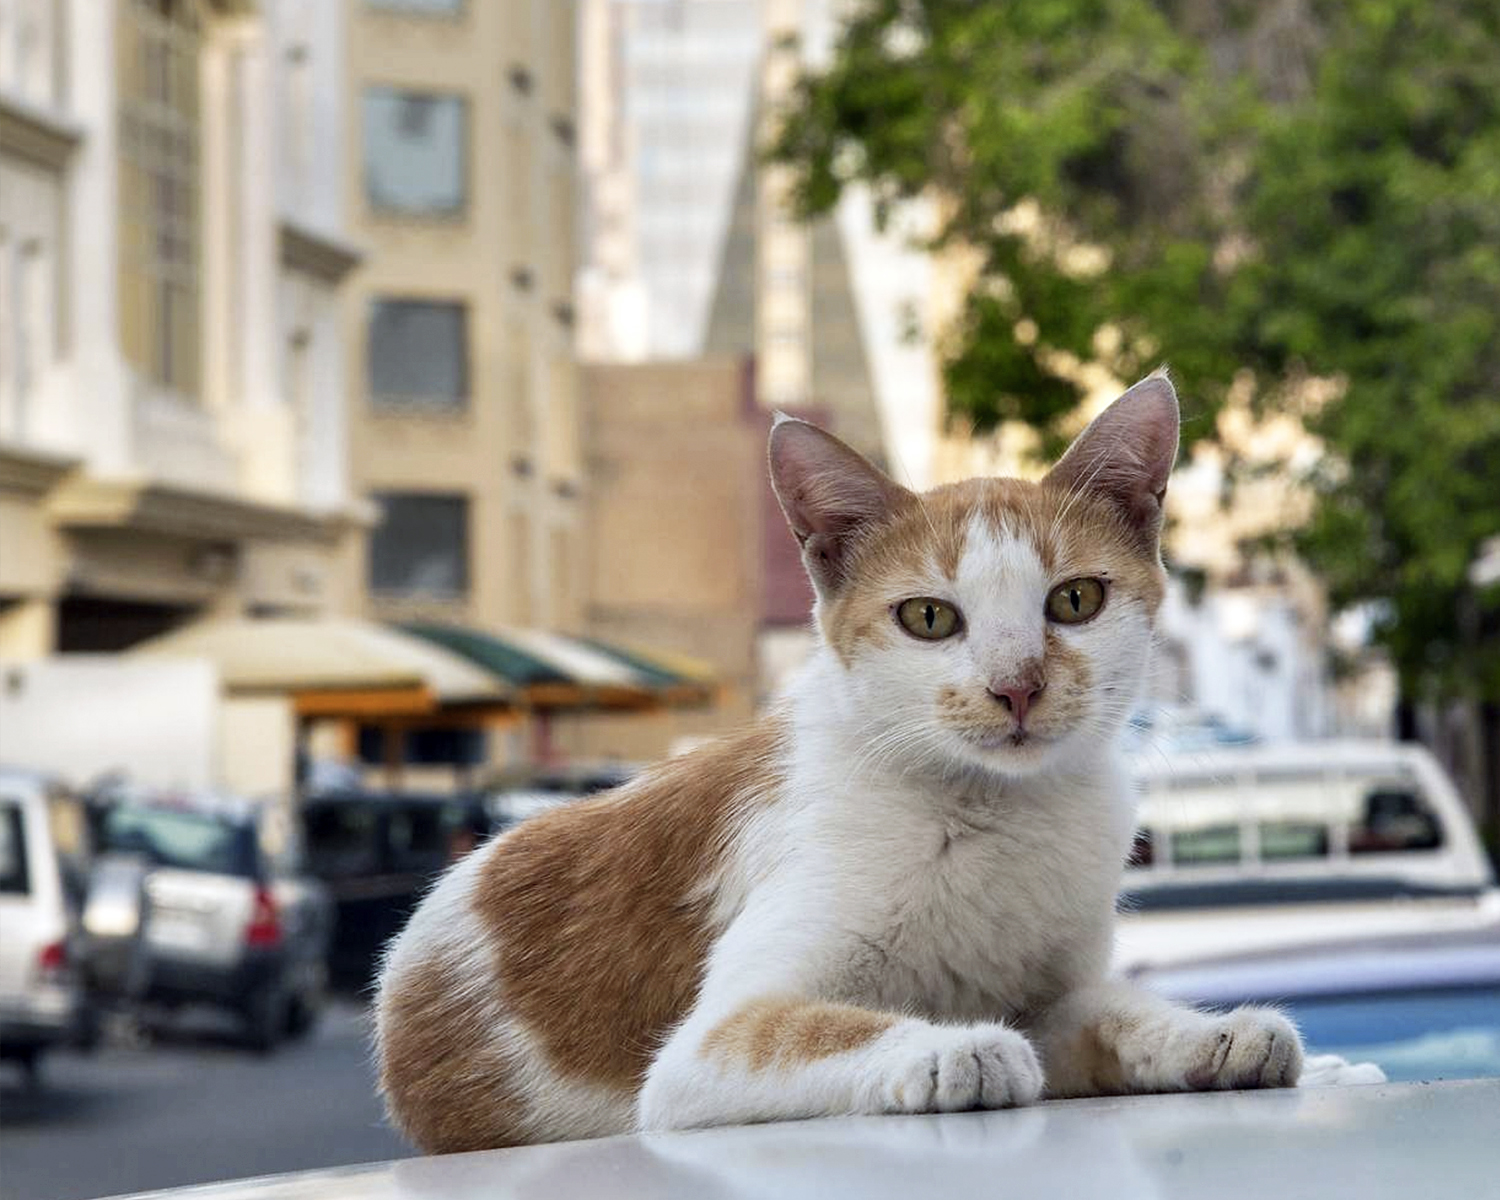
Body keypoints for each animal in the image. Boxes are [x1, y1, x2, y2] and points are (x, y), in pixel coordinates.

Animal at [378, 378, 1314, 1152]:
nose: (1017, 685)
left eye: (1076, 600)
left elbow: (1108, 1013)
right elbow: (816, 1027)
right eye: (929, 618)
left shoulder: (1054, 994)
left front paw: (1211, 1032)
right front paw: (957, 1049)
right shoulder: (706, 1051)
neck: (995, 815)